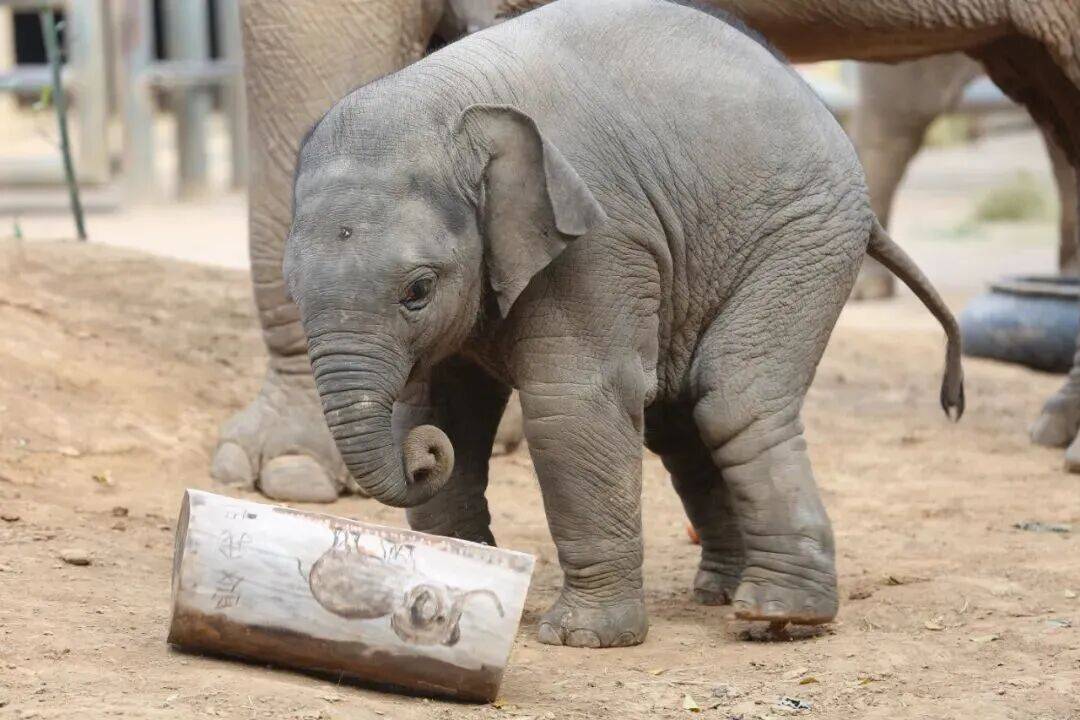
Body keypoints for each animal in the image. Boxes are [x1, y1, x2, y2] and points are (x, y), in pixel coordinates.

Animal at [282, 0, 964, 647]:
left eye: (417, 290)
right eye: (291, 287)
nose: (423, 460)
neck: (452, 104)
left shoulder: (600, 236)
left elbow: (573, 403)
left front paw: (582, 639)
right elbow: (441, 409)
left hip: (805, 237)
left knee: (734, 398)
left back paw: (778, 617)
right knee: (681, 420)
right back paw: (720, 593)